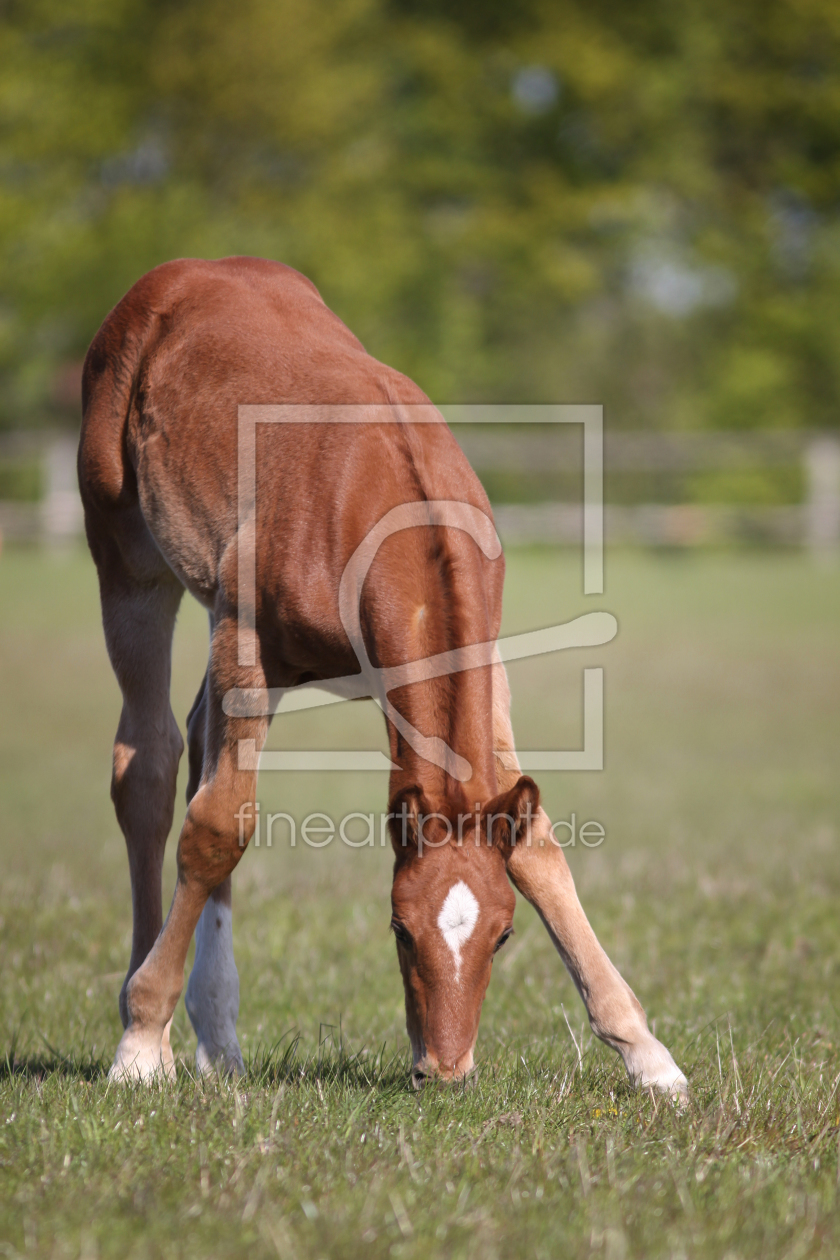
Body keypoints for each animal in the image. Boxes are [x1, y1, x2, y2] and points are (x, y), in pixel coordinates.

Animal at [77, 255, 690, 1093]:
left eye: (502, 935)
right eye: (399, 929)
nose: (446, 1070)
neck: (380, 500)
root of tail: (181, 273)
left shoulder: (487, 666)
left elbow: (538, 847)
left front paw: (649, 1057)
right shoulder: (247, 642)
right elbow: (217, 825)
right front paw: (140, 1042)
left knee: (198, 743)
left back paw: (218, 1041)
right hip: (131, 565)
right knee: (148, 767)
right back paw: (155, 1035)